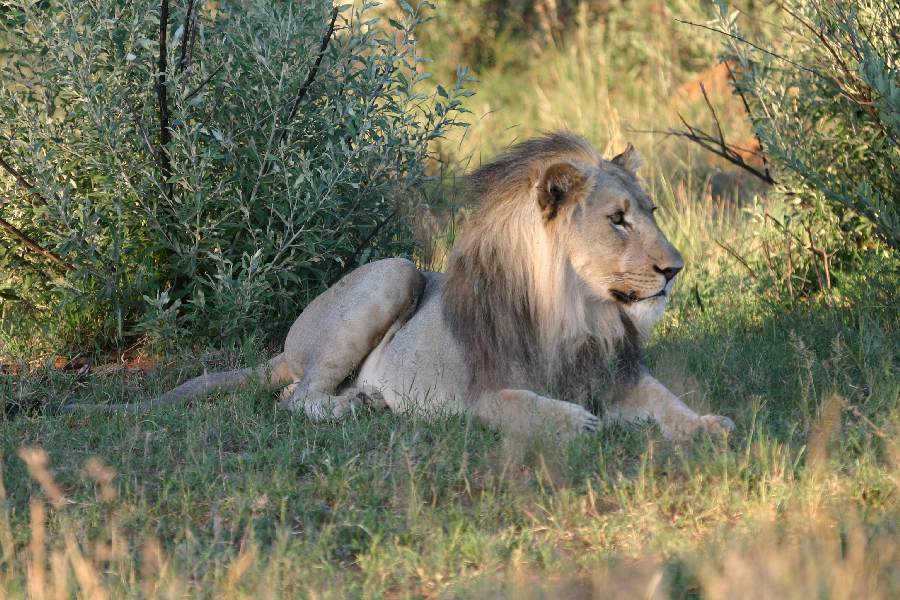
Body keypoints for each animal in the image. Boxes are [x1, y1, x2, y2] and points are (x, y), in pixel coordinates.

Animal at [68, 134, 732, 438]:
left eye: (651, 211)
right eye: (617, 219)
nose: (675, 269)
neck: (580, 314)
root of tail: (286, 349)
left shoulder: (622, 377)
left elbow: (667, 403)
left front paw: (709, 426)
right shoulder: (484, 395)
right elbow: (533, 407)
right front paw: (577, 422)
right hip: (395, 271)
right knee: (295, 399)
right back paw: (358, 404)